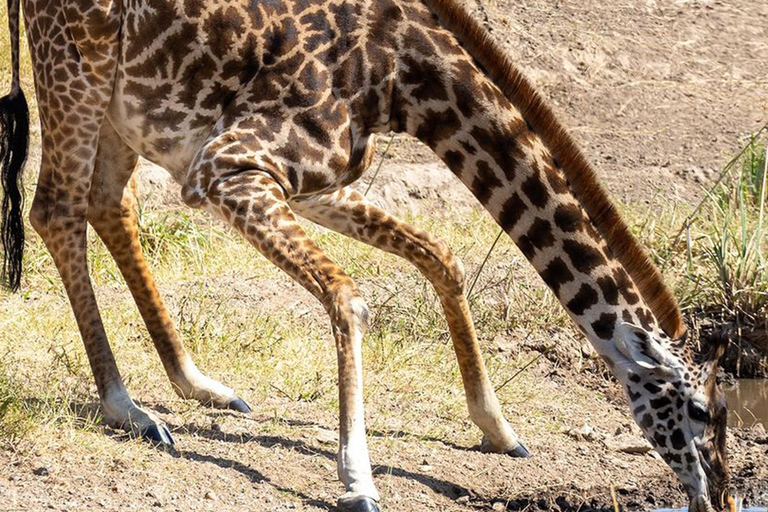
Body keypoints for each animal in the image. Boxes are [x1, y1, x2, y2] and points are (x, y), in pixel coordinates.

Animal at [0, 0, 736, 510]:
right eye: (703, 413)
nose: (723, 497)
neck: (401, 79)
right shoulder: (230, 168)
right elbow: (349, 297)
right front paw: (358, 480)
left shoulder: (317, 184)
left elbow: (441, 257)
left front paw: (497, 428)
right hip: (77, 71)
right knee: (56, 210)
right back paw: (127, 408)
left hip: (124, 106)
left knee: (106, 204)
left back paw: (197, 384)